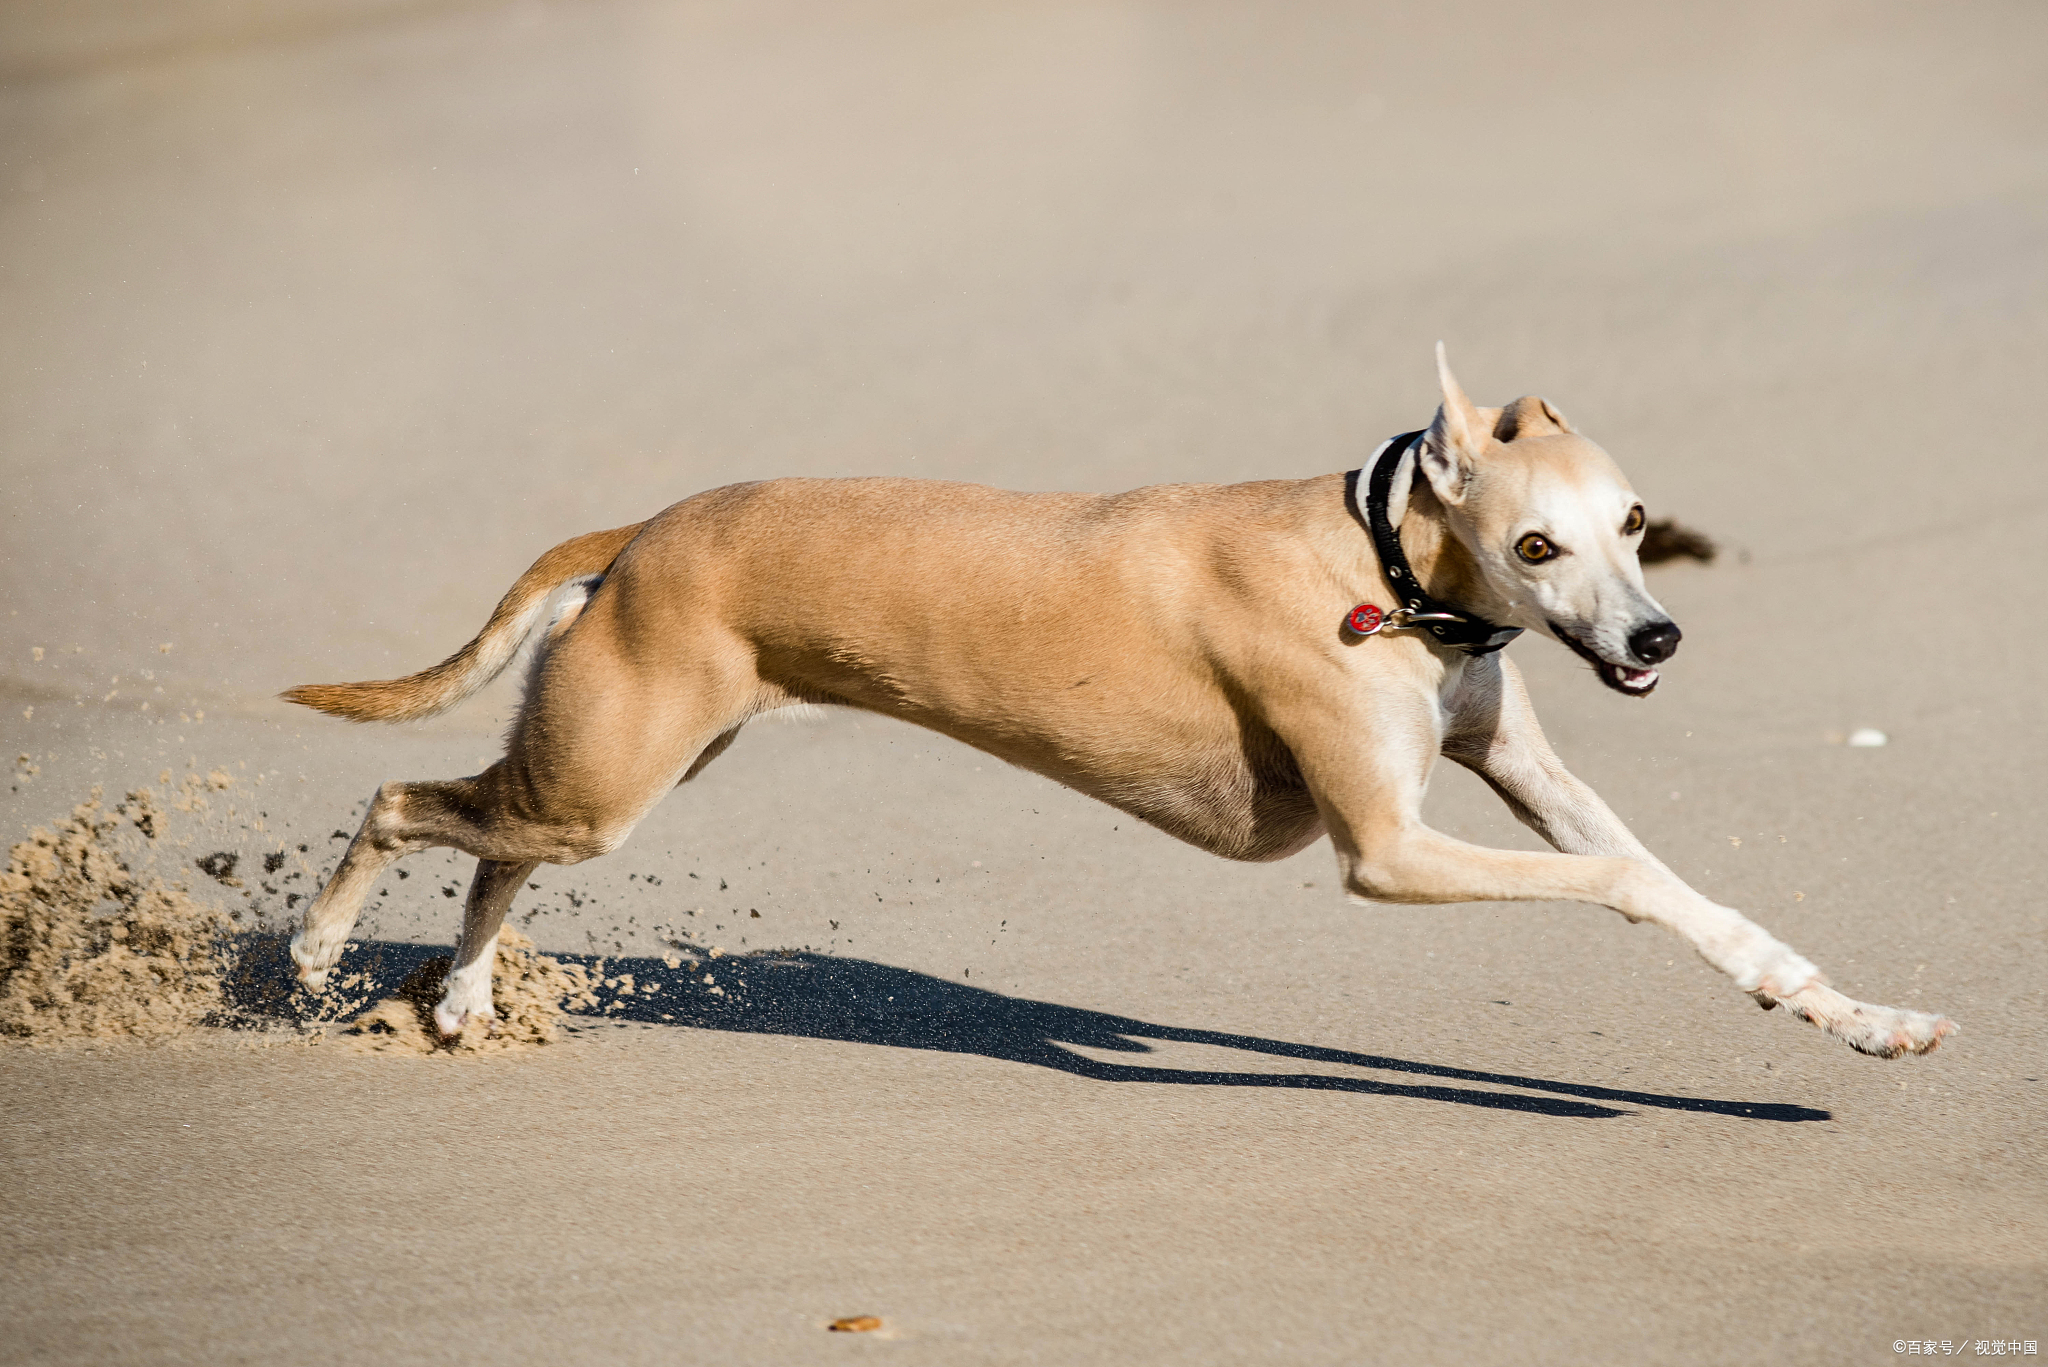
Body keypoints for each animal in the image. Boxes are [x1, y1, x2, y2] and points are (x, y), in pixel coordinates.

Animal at [284, 344, 1949, 1057]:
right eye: (1538, 543)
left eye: (1637, 520)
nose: (1659, 635)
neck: (1385, 570)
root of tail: (636, 532)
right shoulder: (1388, 851)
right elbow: (1623, 881)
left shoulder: (1522, 773)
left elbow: (1685, 891)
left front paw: (1849, 1010)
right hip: (608, 775)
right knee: (404, 800)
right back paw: (312, 951)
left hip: (612, 776)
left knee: (490, 843)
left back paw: (464, 994)